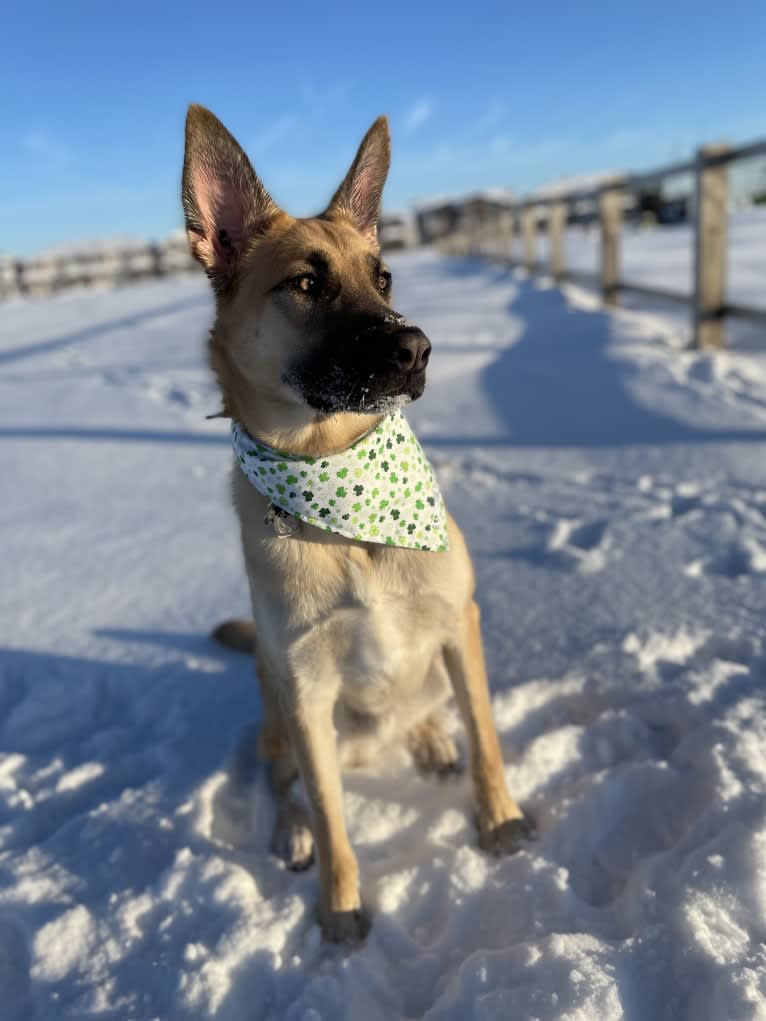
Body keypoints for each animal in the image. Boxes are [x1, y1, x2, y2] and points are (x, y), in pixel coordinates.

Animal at [181, 103, 531, 939]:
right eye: (307, 283)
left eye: (384, 277)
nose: (417, 348)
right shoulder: (306, 687)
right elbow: (333, 816)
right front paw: (339, 914)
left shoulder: (458, 621)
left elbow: (488, 740)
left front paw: (499, 820)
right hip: (277, 702)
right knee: (287, 783)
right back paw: (293, 831)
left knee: (422, 714)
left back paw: (429, 737)